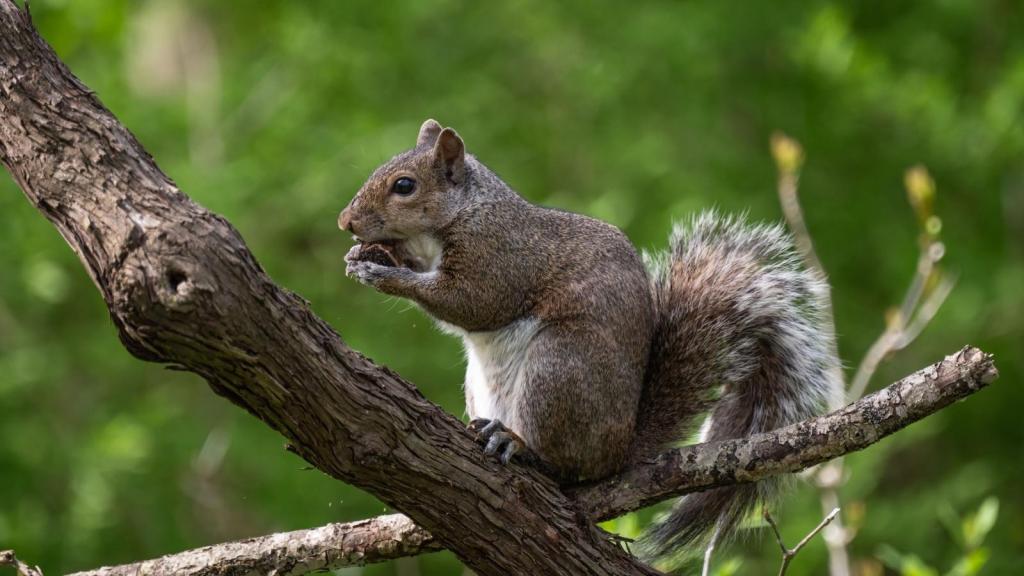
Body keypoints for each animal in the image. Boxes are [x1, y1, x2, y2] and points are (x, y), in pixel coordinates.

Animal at [338, 119, 841, 558]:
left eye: (405, 186)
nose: (346, 222)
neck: (465, 212)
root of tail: (620, 452)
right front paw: (369, 256)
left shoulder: (500, 258)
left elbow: (471, 303)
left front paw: (385, 275)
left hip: (559, 368)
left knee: (566, 467)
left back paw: (519, 446)